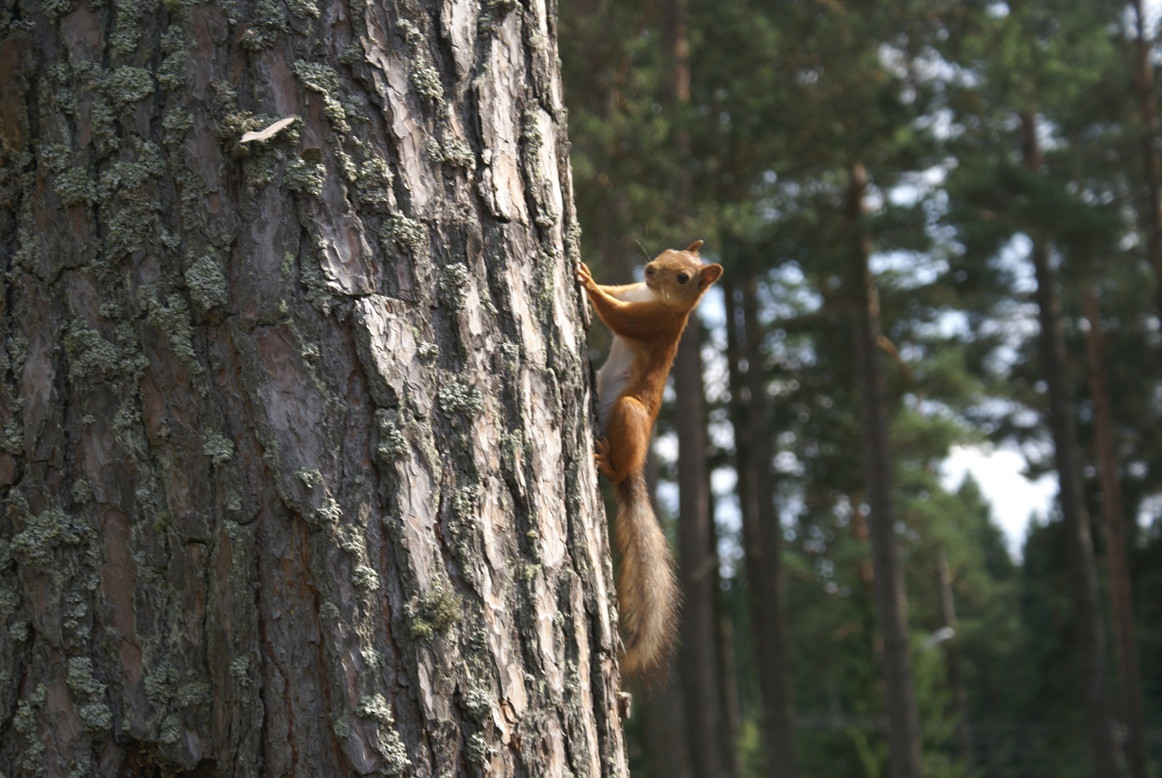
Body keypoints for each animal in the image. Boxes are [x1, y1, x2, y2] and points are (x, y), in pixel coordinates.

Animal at [576, 240, 720, 678]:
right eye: (669, 251)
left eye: (684, 278)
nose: (651, 269)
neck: (655, 297)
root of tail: (634, 470)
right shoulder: (633, 291)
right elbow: (617, 291)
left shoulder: (654, 324)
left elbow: (617, 316)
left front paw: (586, 281)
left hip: (627, 414)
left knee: (618, 464)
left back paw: (606, 461)